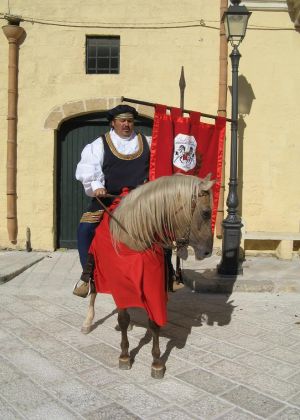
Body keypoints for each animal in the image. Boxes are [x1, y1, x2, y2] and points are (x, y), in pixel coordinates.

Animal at [81, 176, 214, 378]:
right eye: (206, 213)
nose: (207, 251)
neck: (134, 239)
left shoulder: (154, 288)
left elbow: (154, 322)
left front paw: (157, 362)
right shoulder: (120, 287)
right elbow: (122, 317)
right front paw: (125, 356)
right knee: (93, 291)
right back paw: (88, 322)